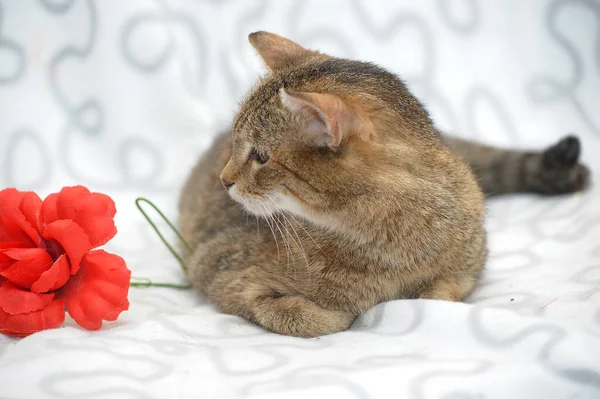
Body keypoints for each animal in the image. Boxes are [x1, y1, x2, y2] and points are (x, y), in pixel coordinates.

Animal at [179, 31, 592, 340]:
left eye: (261, 156)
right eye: (237, 144)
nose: (225, 180)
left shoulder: (471, 262)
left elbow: (442, 294)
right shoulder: (216, 268)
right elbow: (299, 317)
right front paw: (343, 314)